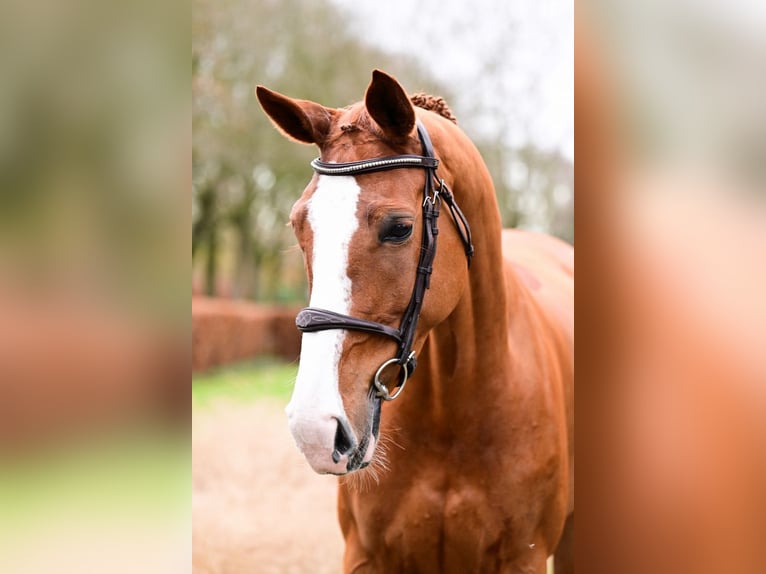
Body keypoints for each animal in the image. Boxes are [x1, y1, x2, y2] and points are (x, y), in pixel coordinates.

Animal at [255, 70, 572, 572]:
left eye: (399, 228)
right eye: (298, 225)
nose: (314, 428)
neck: (453, 416)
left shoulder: (524, 558)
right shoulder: (365, 554)